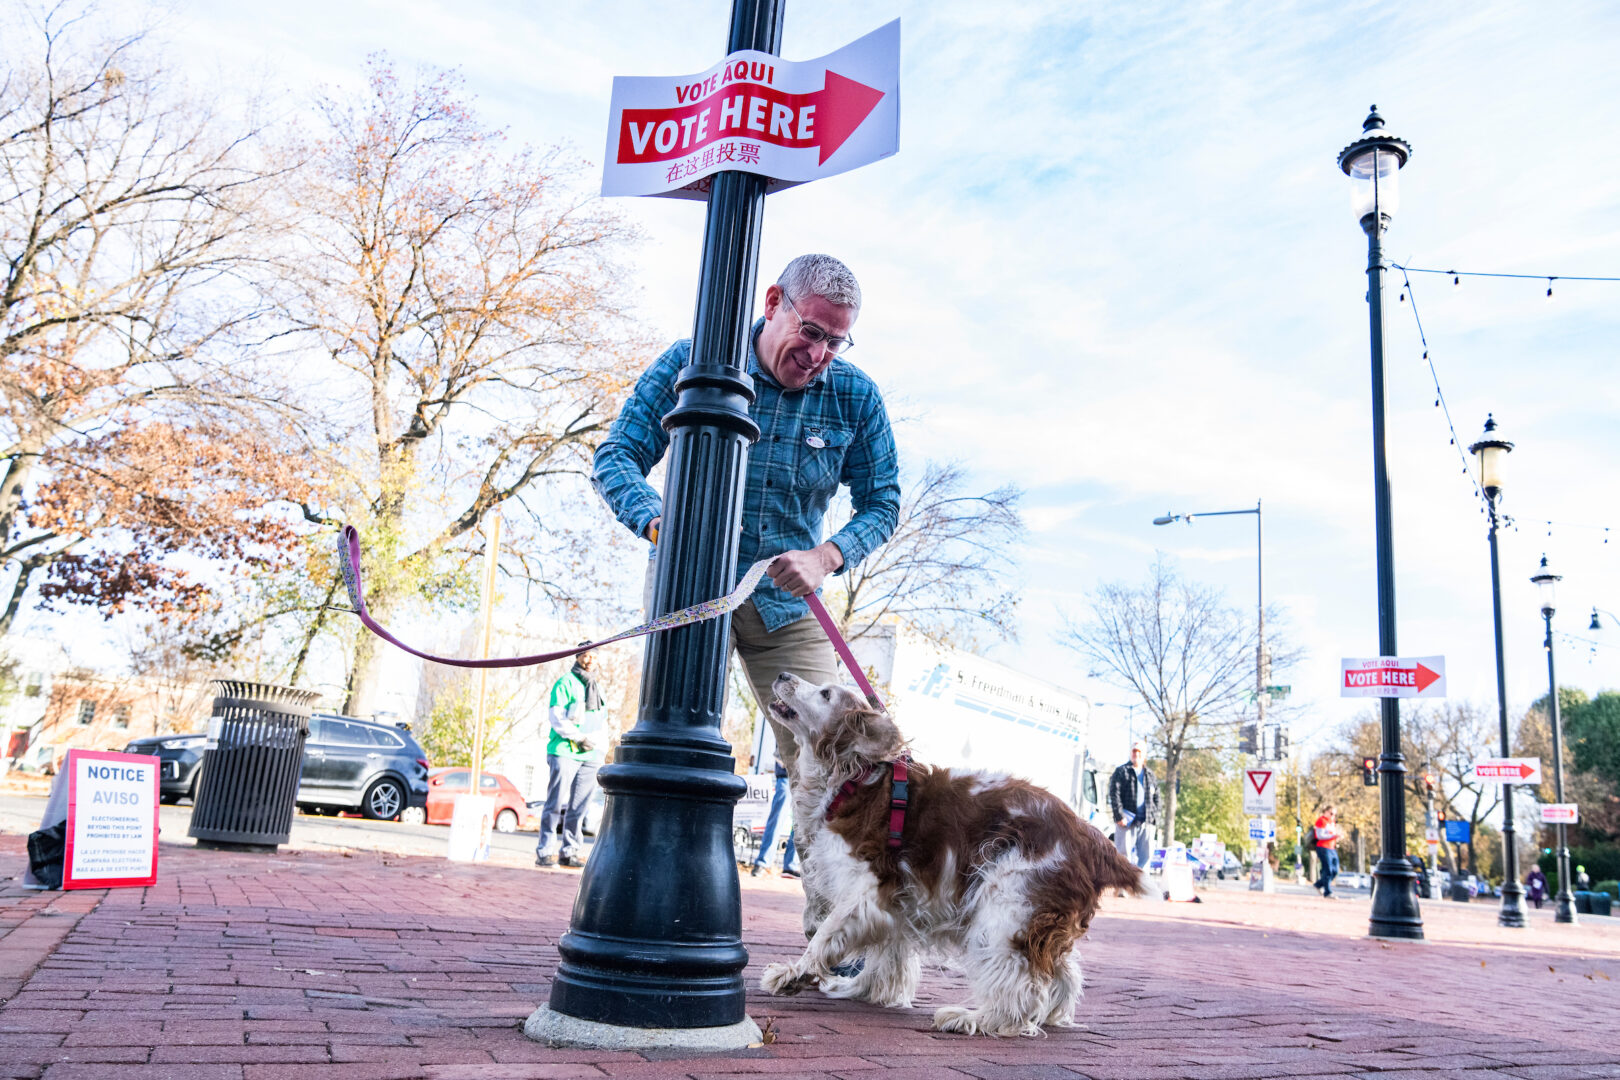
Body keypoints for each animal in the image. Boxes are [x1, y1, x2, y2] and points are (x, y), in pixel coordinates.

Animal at [764, 676, 1146, 1036]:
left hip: (1005, 907)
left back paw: (973, 1019)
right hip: (1038, 920)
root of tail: (1093, 839)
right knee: (1062, 975)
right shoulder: (896, 903)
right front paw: (861, 988)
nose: (782, 674)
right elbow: (885, 958)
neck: (851, 778)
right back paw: (1048, 1017)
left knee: (1022, 988)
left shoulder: (868, 890)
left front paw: (793, 974)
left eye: (826, 694)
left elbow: (825, 936)